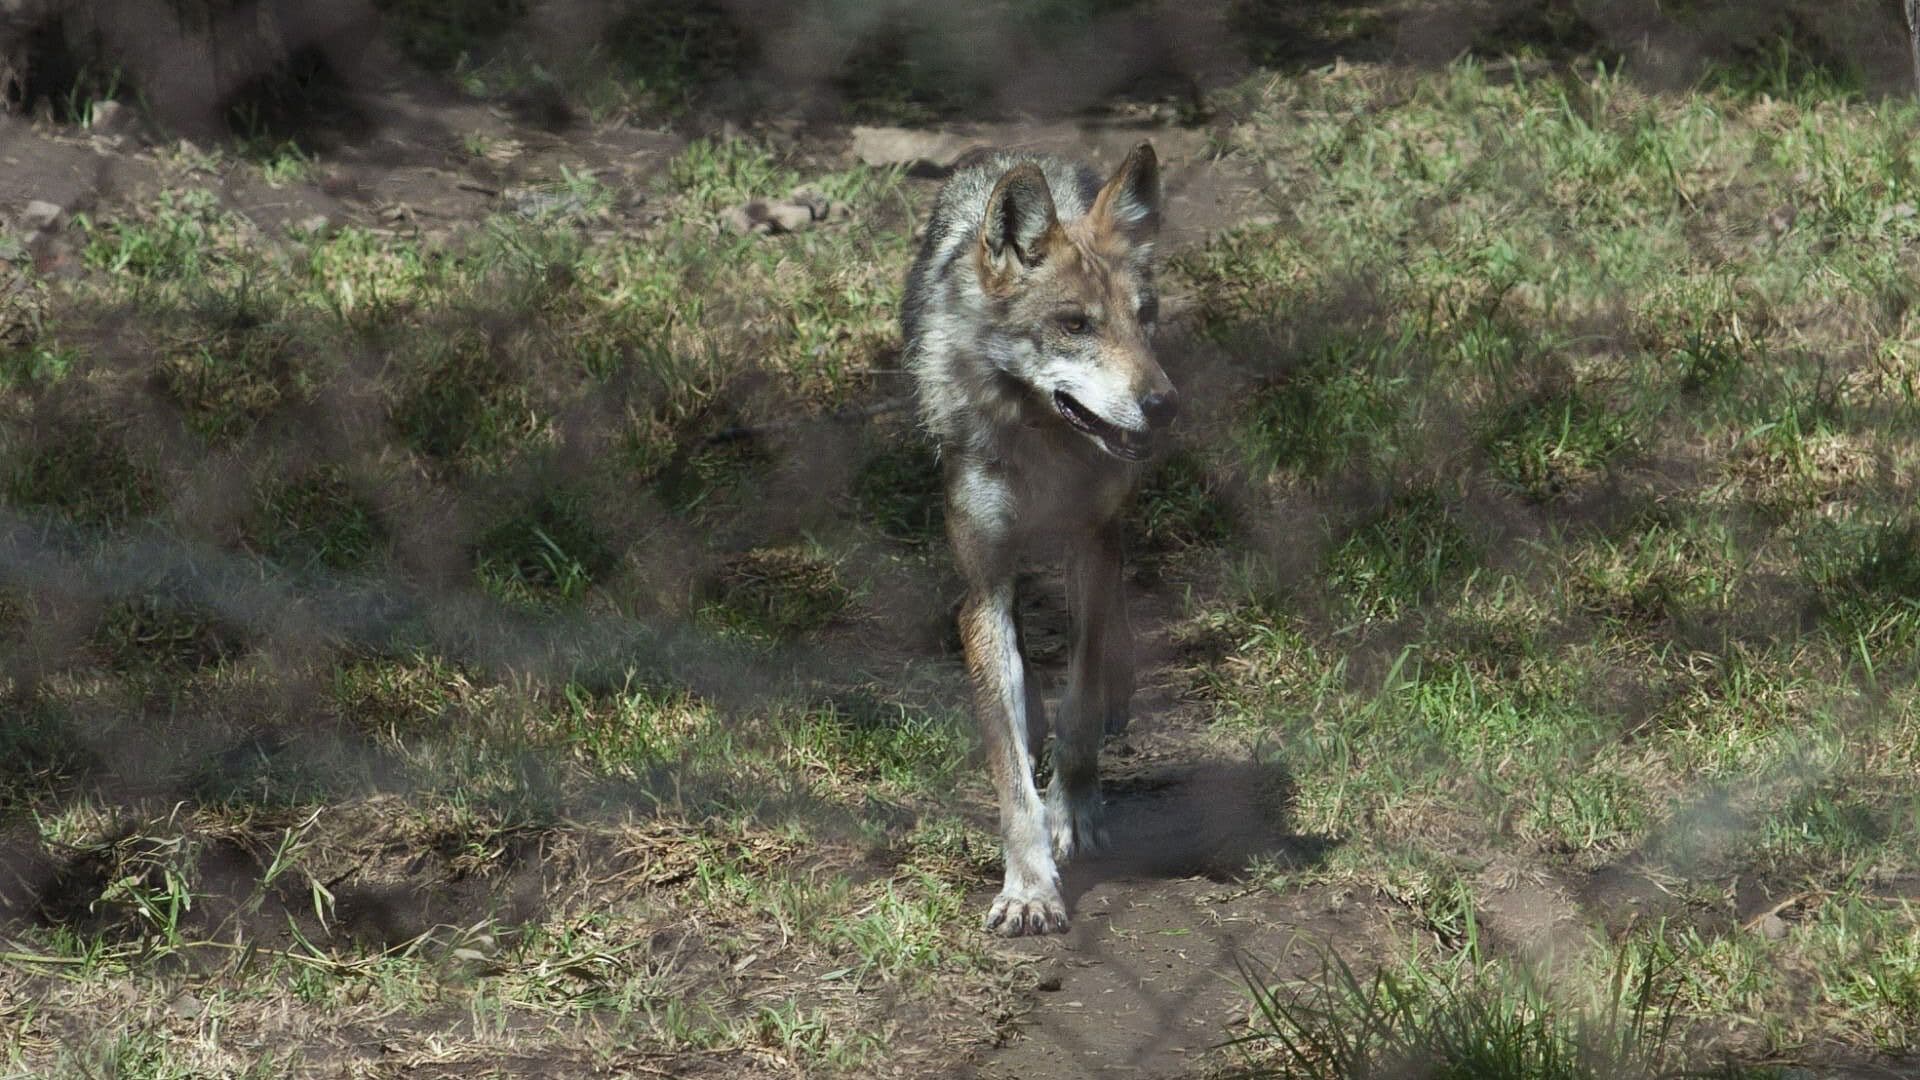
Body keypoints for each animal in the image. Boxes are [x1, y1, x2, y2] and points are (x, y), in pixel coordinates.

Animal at [901, 143, 1177, 936]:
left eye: (1143, 318)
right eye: (1075, 324)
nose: (1164, 405)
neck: (1042, 438)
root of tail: (1023, 156)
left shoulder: (1090, 546)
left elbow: (1079, 705)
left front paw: (1075, 815)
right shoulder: (985, 581)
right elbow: (1007, 764)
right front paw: (1028, 887)